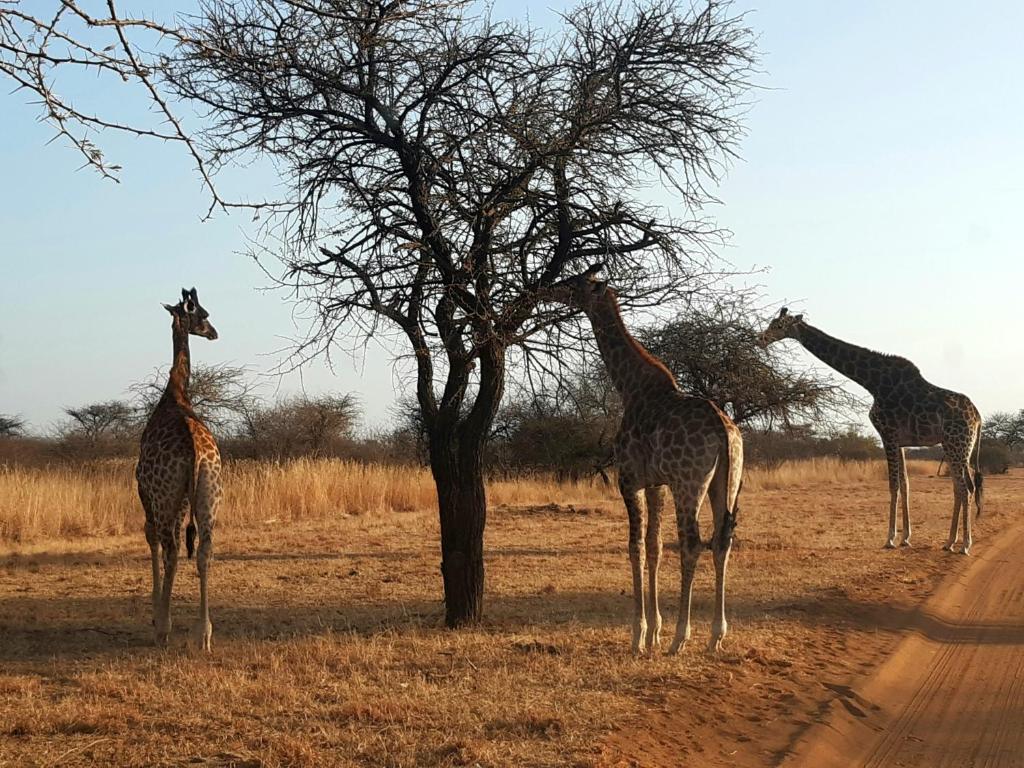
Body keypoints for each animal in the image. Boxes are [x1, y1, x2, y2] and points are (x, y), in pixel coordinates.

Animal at [545, 266, 743, 654]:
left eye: (574, 284)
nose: (547, 288)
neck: (629, 388)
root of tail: (724, 431)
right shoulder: (657, 484)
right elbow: (654, 547)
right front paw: (654, 632)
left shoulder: (629, 479)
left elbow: (634, 546)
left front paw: (639, 636)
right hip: (725, 482)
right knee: (721, 541)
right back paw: (716, 635)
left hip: (689, 483)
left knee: (692, 543)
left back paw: (682, 638)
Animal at [759, 308, 983, 554]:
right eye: (772, 322)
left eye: (779, 326)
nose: (761, 339)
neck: (872, 383)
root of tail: (978, 417)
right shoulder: (901, 441)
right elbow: (905, 484)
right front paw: (906, 537)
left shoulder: (888, 434)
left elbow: (894, 485)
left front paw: (890, 538)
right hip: (954, 447)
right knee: (960, 487)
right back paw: (950, 541)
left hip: (957, 445)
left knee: (966, 488)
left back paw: (964, 545)